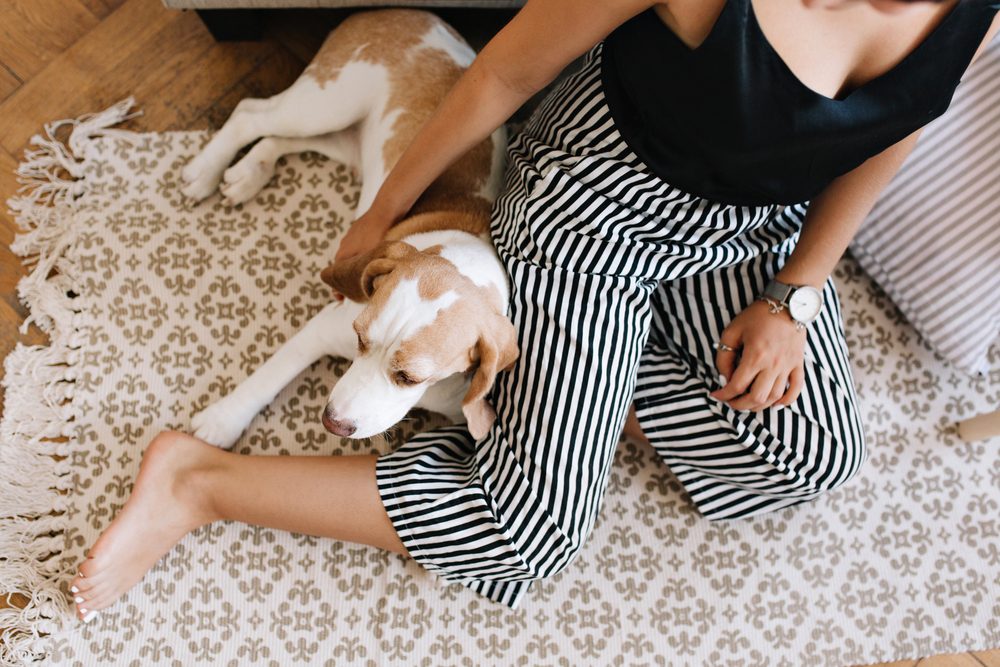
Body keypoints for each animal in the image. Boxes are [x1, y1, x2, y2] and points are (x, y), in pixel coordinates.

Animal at [184, 7, 520, 446]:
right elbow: (267, 378)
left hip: (344, 138)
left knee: (275, 137)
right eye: (360, 337)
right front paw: (221, 422)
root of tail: (406, 11)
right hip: (322, 105)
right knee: (249, 113)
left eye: (409, 377)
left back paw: (249, 172)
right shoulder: (323, 330)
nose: (332, 423)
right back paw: (206, 170)